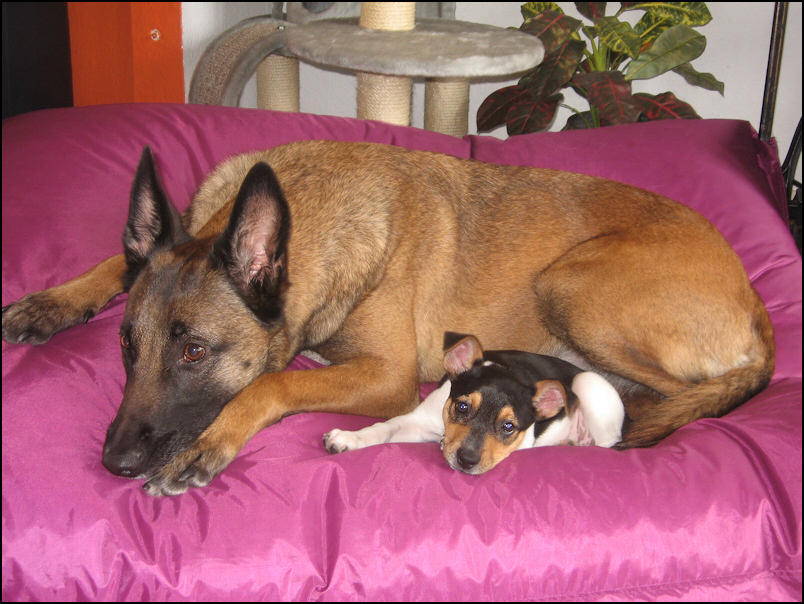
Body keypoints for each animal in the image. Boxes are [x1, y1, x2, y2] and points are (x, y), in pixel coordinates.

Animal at [3, 140, 776, 496]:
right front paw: (51, 302)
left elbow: (273, 382)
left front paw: (210, 443)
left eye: (195, 352)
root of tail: (754, 301)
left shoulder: (387, 375)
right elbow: (116, 259)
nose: (114, 462)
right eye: (125, 346)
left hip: (571, 284)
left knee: (678, 394)